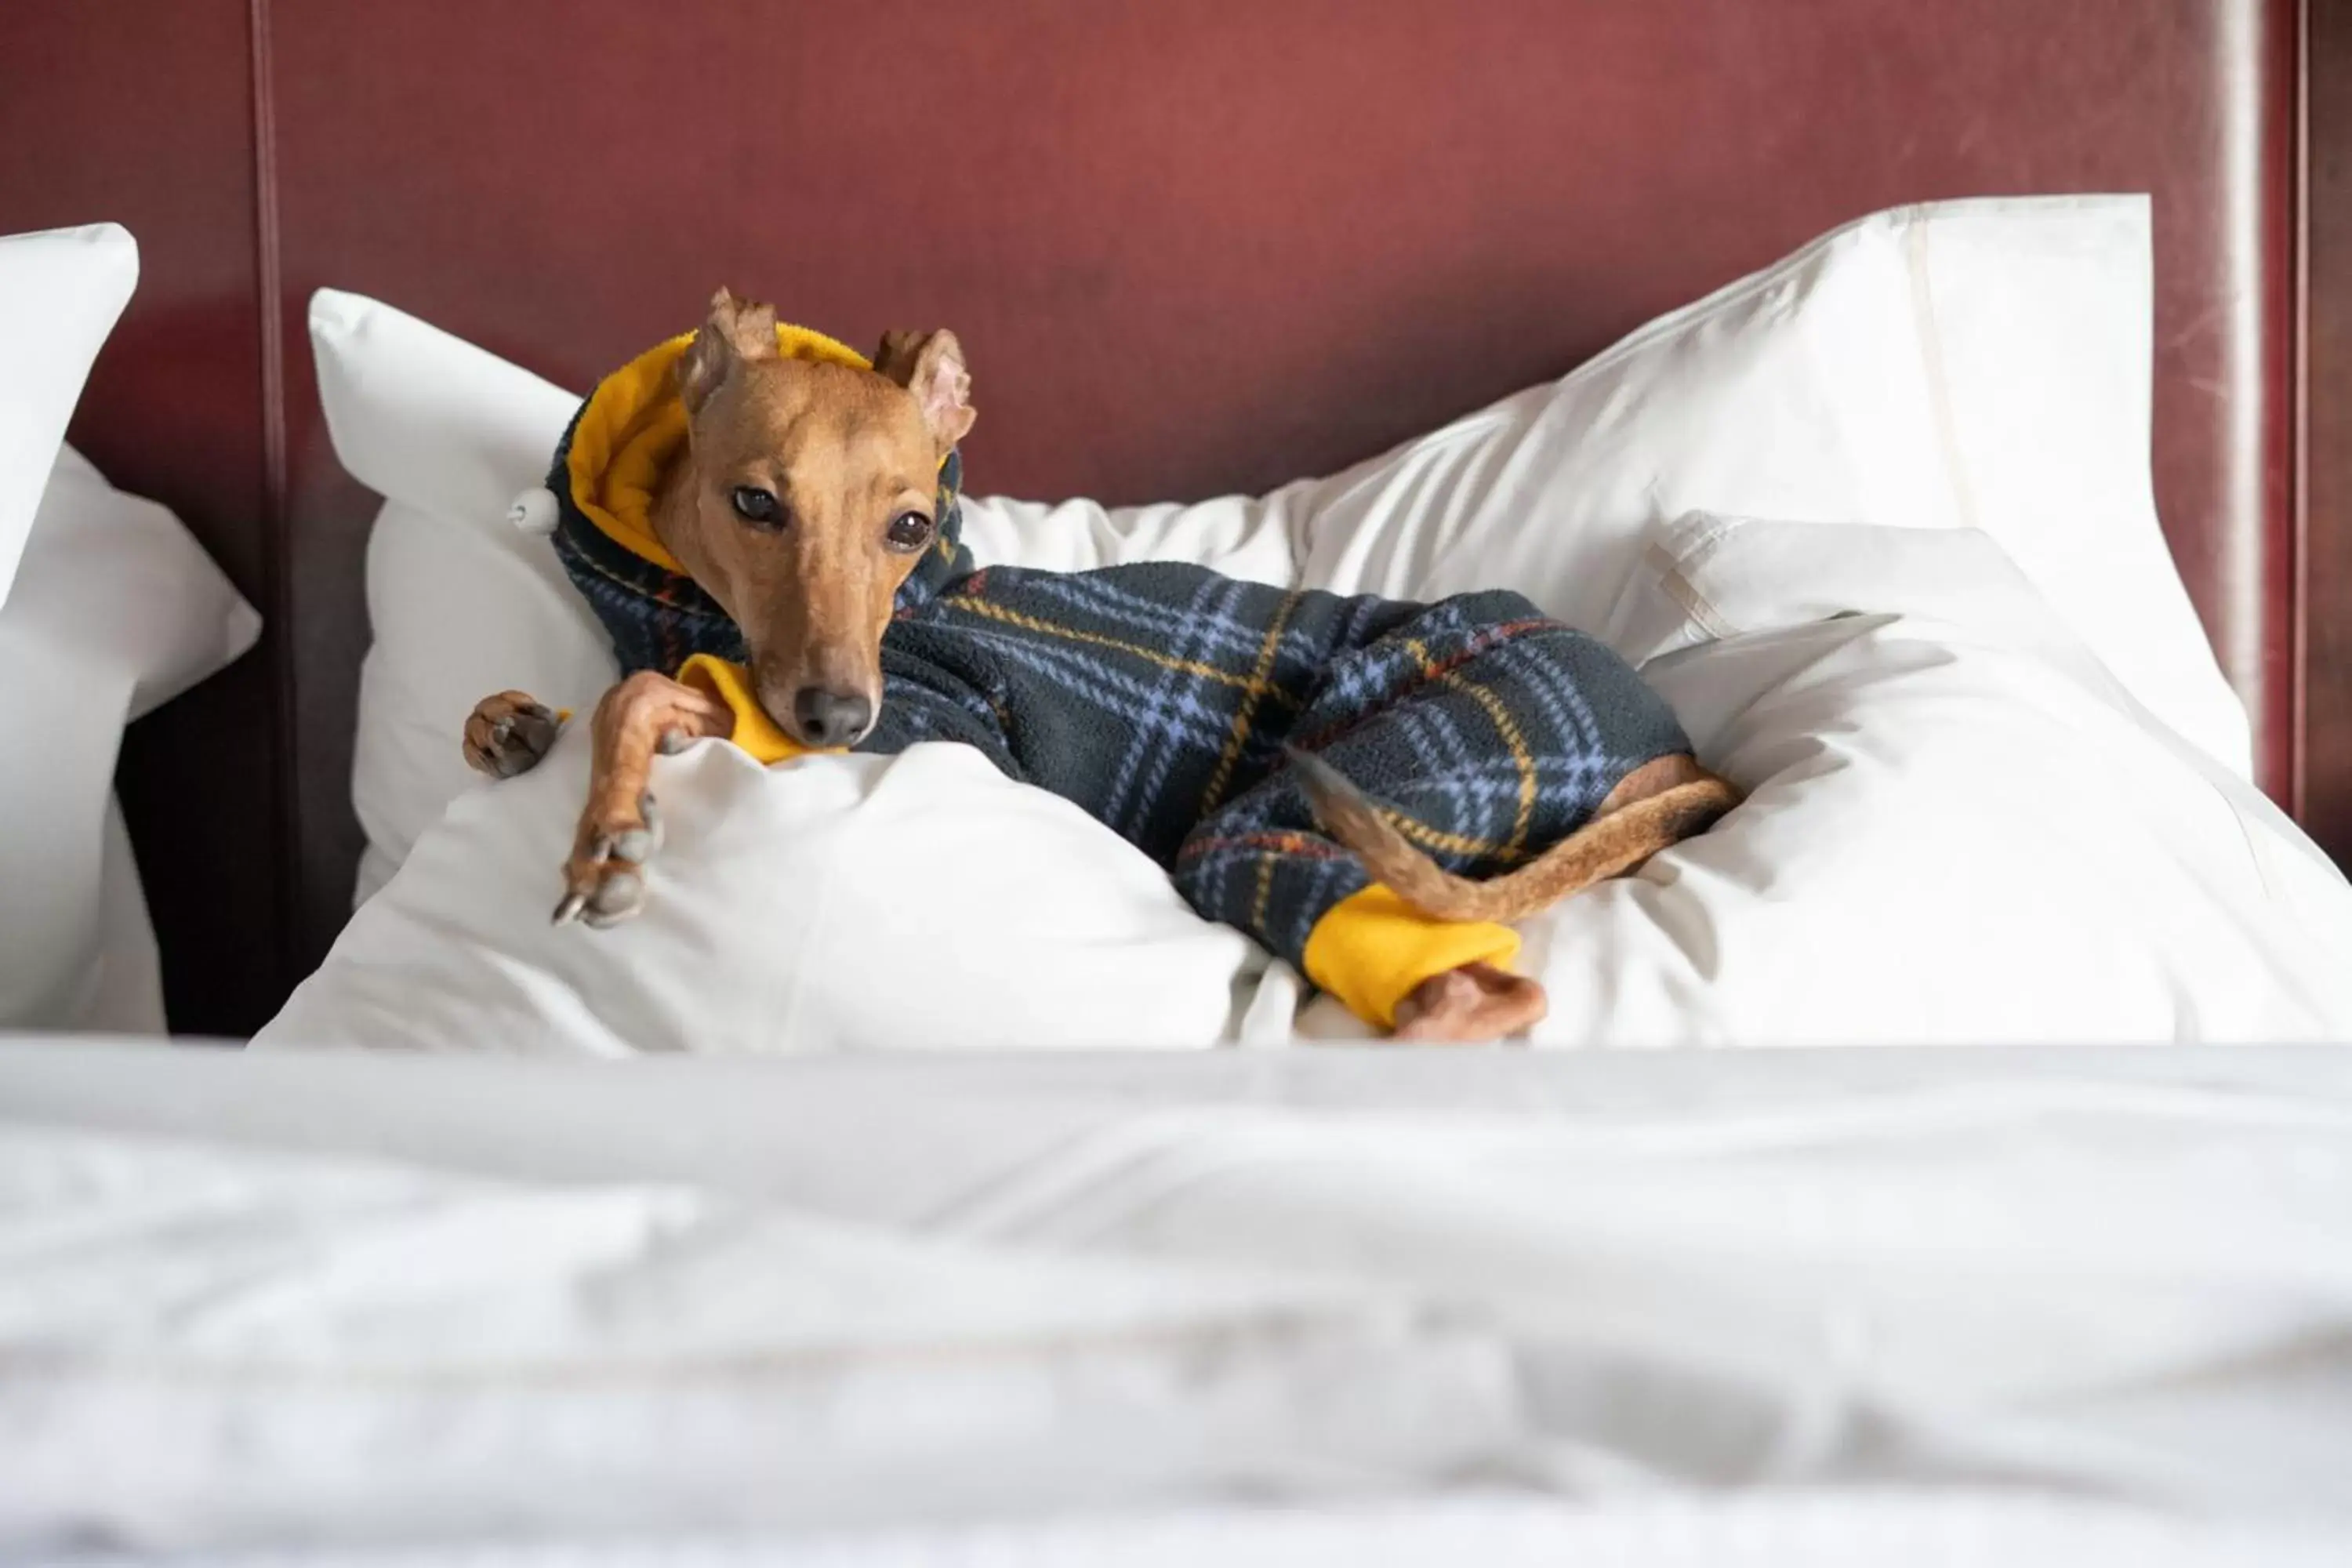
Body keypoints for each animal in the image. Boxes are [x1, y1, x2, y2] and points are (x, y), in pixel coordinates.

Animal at [468, 291, 1740, 1044]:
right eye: (752, 504)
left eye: (911, 526)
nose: (834, 717)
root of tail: (1675, 751)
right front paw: (513, 722)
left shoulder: (942, 723)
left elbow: (644, 694)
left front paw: (606, 831)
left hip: (1351, 790)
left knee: (1485, 991)